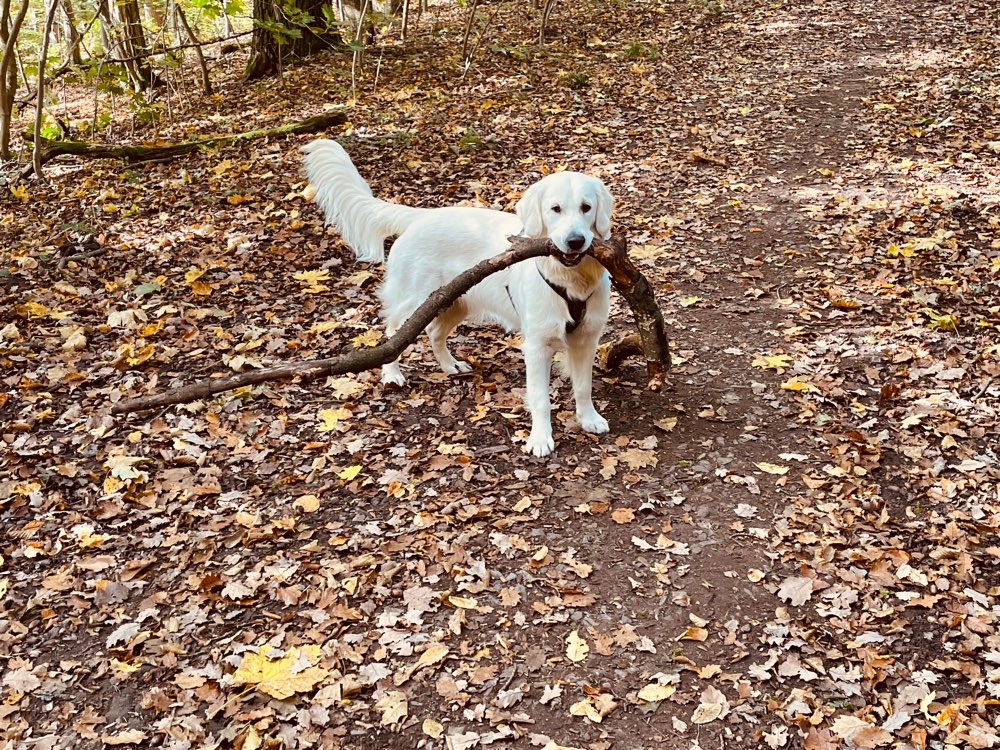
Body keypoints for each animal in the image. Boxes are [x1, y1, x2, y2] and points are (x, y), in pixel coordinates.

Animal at [296, 140, 612, 458]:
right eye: (555, 209)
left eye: (586, 208)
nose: (576, 241)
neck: (570, 278)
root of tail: (421, 216)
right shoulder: (537, 344)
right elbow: (540, 397)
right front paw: (540, 438)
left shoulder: (587, 338)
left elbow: (584, 386)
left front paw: (589, 419)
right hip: (416, 301)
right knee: (393, 334)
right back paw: (392, 373)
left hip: (454, 300)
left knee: (435, 333)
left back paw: (450, 366)